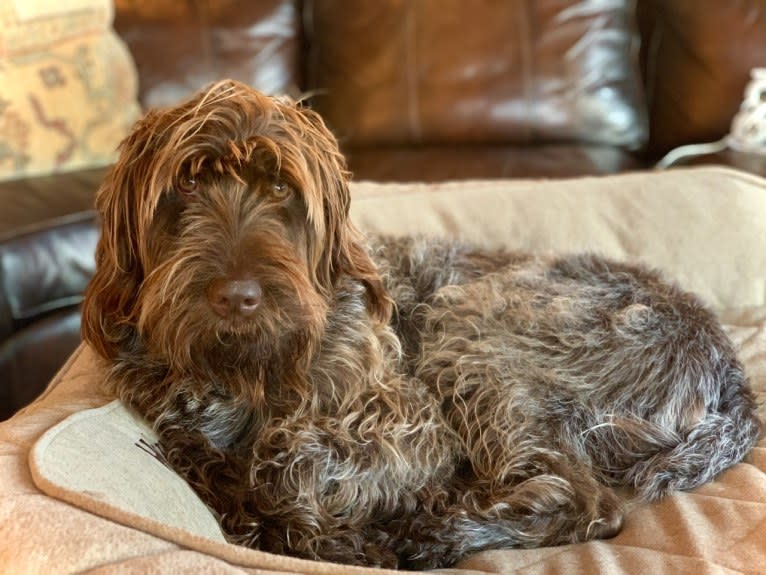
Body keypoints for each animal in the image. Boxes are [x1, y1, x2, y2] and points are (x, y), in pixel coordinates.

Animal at [81, 81, 764, 572]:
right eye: (186, 186)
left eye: (280, 188)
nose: (237, 296)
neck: (248, 373)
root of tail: (730, 373)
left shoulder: (414, 429)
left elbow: (284, 462)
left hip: (474, 339)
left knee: (585, 503)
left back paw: (432, 530)